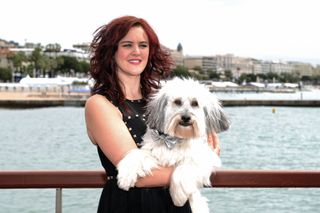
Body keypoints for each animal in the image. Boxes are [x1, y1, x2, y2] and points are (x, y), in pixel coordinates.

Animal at [117, 77, 230, 212]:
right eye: (177, 102)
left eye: (195, 103)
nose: (185, 117)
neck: (175, 139)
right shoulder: (154, 153)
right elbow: (138, 155)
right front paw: (126, 175)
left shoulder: (206, 157)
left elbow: (184, 168)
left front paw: (178, 196)